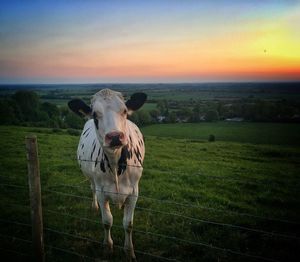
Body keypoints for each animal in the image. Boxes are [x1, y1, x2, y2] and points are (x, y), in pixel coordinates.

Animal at [68, 89, 148, 260]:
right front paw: (108, 247)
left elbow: (128, 224)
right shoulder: (101, 191)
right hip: (92, 180)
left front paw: (129, 251)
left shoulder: (134, 192)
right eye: (94, 114)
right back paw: (94, 206)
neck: (115, 163)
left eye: (124, 111)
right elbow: (107, 221)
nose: (115, 136)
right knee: (92, 189)